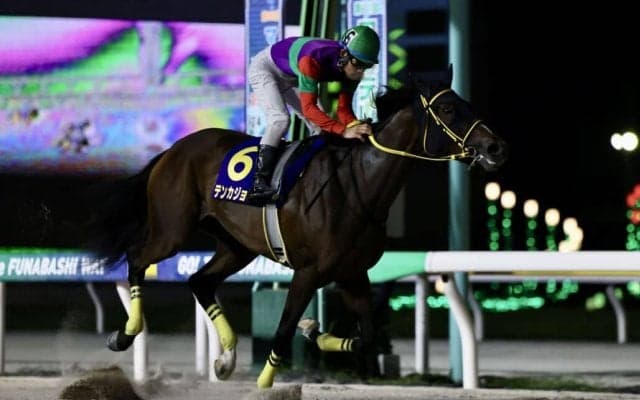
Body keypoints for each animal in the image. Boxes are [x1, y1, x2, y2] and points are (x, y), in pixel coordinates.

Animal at [81, 66, 508, 388]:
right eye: (449, 109)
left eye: (466, 104)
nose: (496, 147)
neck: (359, 186)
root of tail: (172, 151)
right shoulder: (308, 272)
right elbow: (283, 330)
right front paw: (268, 377)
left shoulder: (353, 273)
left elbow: (366, 338)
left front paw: (314, 330)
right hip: (172, 230)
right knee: (138, 257)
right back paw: (125, 333)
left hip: (236, 245)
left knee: (200, 281)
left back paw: (226, 359)